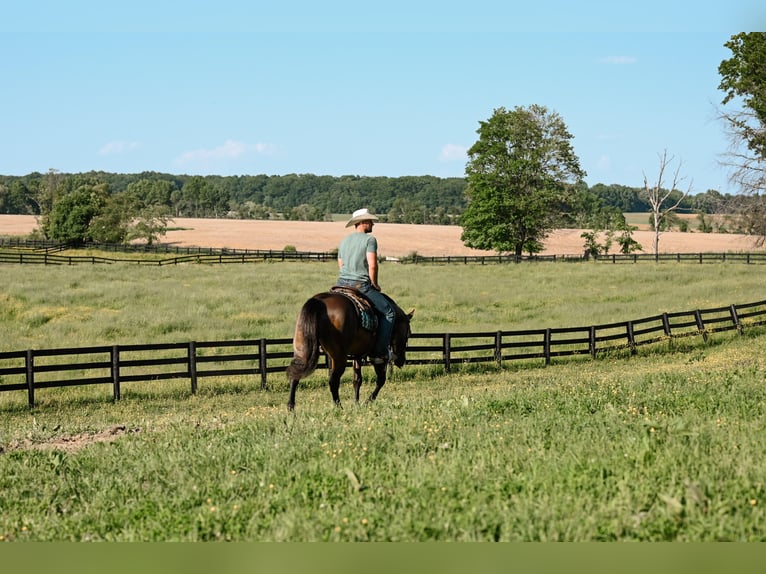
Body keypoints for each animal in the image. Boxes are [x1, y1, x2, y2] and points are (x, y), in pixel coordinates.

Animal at [286, 292, 414, 414]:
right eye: (408, 334)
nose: (401, 360)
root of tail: (319, 301)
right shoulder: (377, 356)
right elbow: (381, 380)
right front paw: (367, 402)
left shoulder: (356, 355)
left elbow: (357, 380)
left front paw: (356, 403)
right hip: (339, 358)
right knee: (333, 381)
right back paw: (339, 407)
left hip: (304, 349)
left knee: (296, 375)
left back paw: (291, 407)